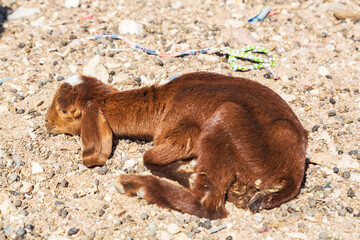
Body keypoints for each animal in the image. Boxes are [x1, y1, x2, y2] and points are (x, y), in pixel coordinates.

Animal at [45, 71, 308, 219]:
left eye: (63, 110)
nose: (46, 121)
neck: (161, 104)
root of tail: (292, 173)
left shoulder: (181, 131)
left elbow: (149, 156)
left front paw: (185, 173)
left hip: (229, 121)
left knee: (209, 207)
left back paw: (136, 185)